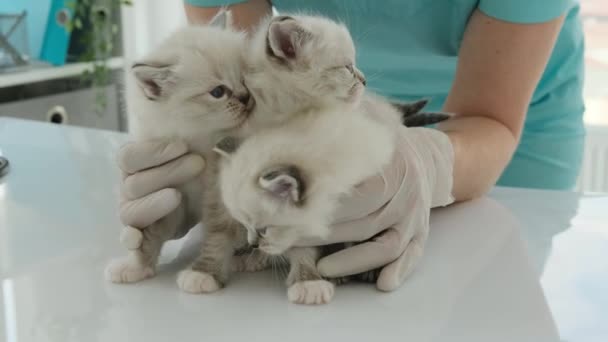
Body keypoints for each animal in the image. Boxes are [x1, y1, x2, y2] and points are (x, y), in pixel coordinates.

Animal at [103, 11, 253, 284]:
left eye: (245, 79)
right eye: (218, 92)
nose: (246, 97)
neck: (201, 145)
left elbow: (222, 232)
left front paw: (206, 272)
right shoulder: (171, 196)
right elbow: (147, 237)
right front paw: (136, 267)